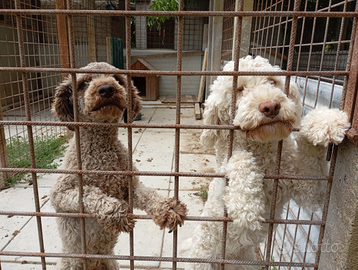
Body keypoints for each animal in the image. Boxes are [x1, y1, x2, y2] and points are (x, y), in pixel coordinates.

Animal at [185, 55, 350, 270]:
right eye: (239, 89)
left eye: (272, 81)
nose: (270, 106)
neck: (262, 150)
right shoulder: (223, 182)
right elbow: (239, 159)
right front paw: (247, 206)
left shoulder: (308, 187)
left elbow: (311, 162)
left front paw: (325, 121)